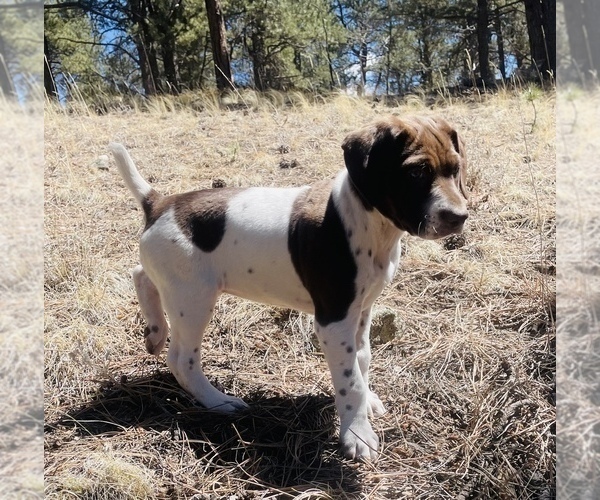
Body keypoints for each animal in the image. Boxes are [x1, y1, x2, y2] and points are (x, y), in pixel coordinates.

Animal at [110, 115, 472, 458]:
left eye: (455, 169)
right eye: (415, 173)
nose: (458, 217)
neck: (370, 223)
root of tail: (160, 203)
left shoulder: (363, 309)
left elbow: (363, 359)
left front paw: (367, 401)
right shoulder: (334, 320)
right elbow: (349, 380)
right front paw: (357, 434)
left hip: (175, 283)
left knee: (141, 274)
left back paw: (155, 331)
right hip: (193, 298)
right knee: (182, 360)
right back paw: (219, 400)